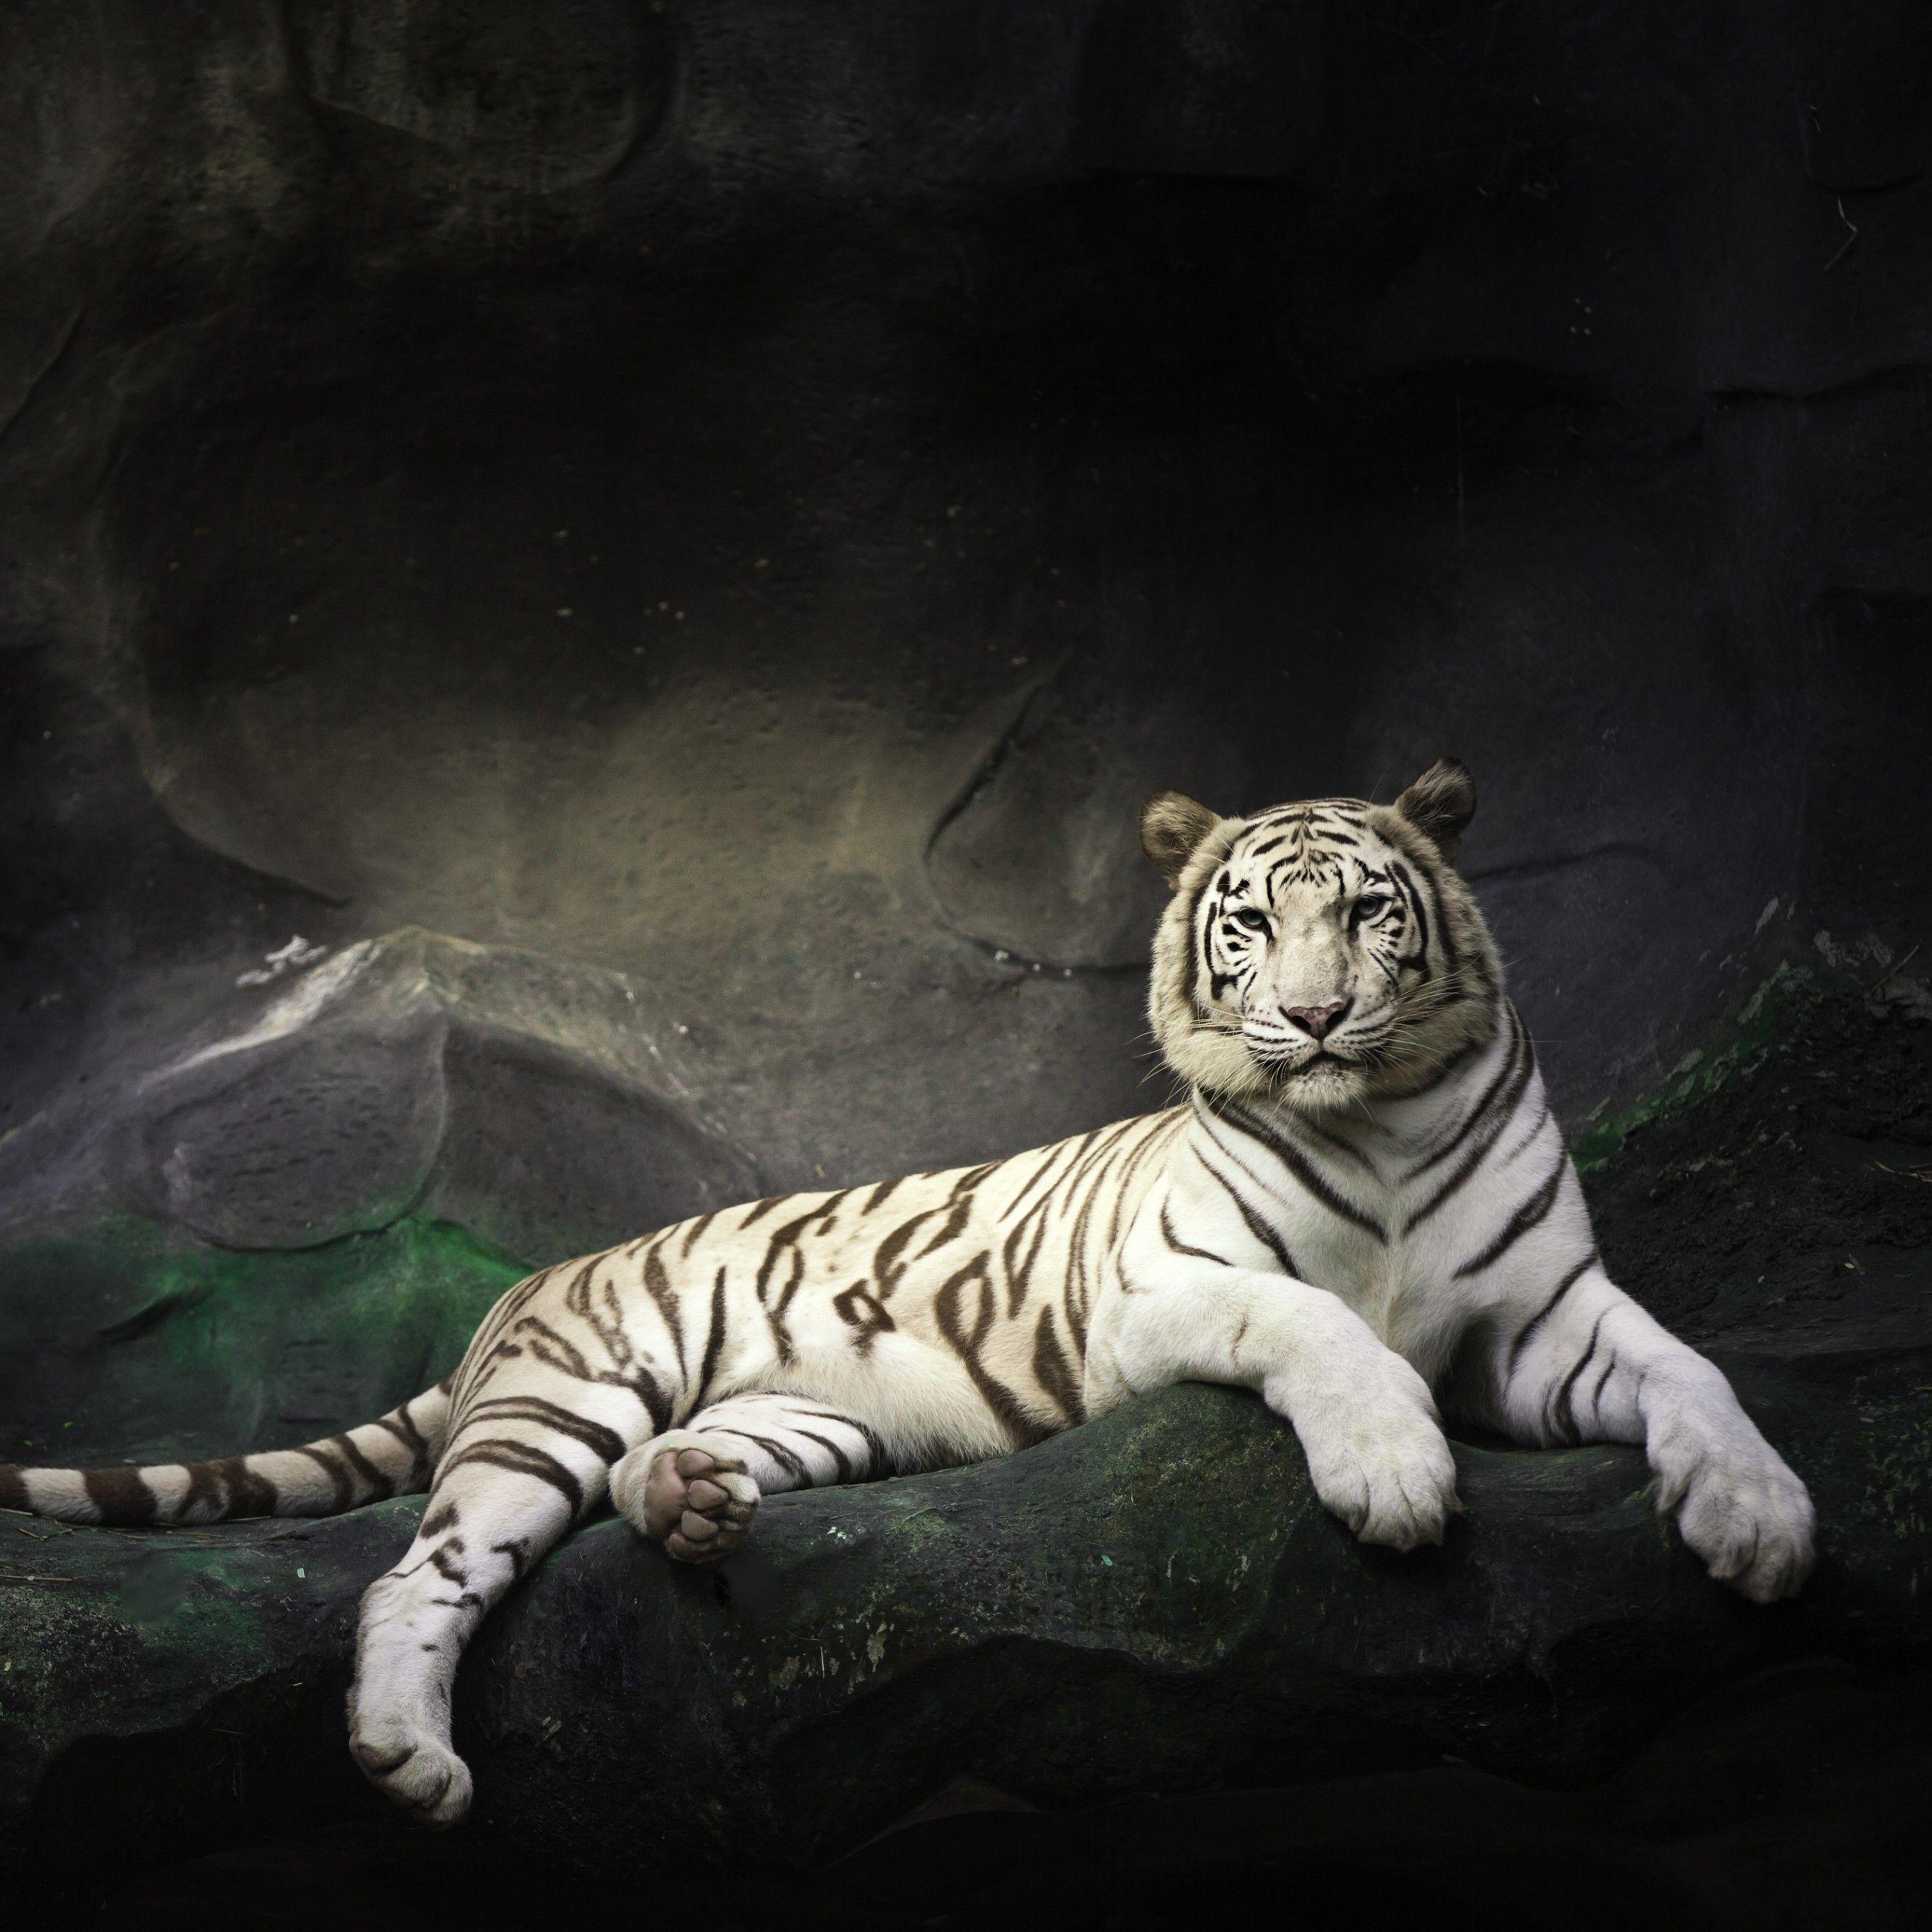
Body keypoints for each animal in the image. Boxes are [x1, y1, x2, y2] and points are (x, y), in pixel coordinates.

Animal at [0, 759, 1815, 1827]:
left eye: (1367, 911)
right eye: (1249, 922)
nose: (1307, 1018)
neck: (1367, 1119)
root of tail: (525, 1291)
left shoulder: (1546, 1315)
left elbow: (1696, 1374)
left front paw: (1760, 1521)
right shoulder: (1164, 1287)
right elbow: (1313, 1322)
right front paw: (1390, 1475)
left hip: (807, 1418)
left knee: (659, 1477)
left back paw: (694, 1508)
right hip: (556, 1409)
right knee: (417, 1574)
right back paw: (408, 1753)